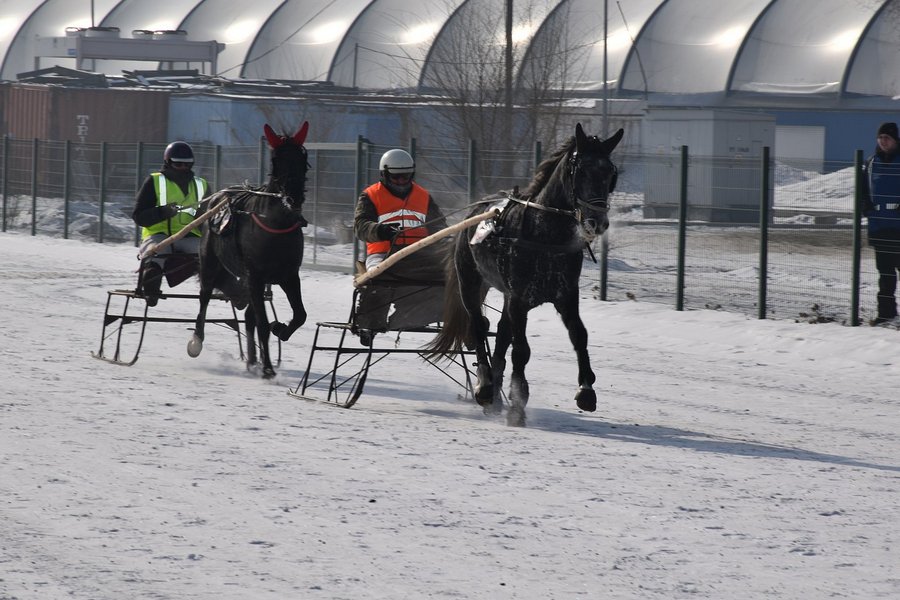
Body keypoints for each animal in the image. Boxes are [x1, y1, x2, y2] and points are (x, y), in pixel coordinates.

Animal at [188, 122, 312, 378]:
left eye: (302, 159)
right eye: (277, 161)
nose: (293, 197)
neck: (276, 227)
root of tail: (218, 196)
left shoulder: (289, 275)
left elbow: (300, 315)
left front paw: (281, 329)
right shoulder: (255, 275)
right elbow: (263, 323)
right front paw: (268, 368)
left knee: (249, 315)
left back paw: (253, 360)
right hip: (210, 261)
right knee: (205, 296)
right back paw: (197, 340)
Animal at [426, 122, 624, 424]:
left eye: (610, 173)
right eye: (581, 170)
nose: (597, 221)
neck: (545, 234)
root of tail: (475, 210)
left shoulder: (566, 295)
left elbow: (579, 335)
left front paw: (586, 390)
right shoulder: (519, 298)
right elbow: (521, 350)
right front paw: (518, 402)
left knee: (501, 335)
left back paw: (494, 396)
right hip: (470, 283)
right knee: (478, 326)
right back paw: (485, 388)